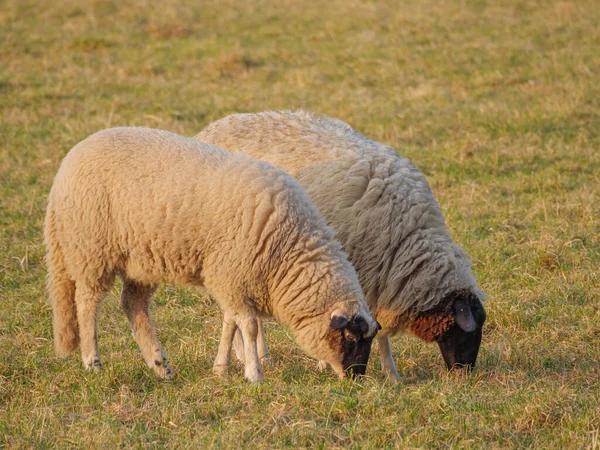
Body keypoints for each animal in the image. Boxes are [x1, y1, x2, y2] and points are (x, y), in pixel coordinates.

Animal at [44, 126, 380, 384]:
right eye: (351, 338)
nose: (357, 378)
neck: (289, 247)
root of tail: (68, 162)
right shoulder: (231, 273)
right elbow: (248, 326)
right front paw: (253, 374)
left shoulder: (231, 279)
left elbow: (230, 323)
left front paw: (222, 368)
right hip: (90, 248)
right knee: (86, 303)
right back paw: (92, 361)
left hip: (140, 259)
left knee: (133, 305)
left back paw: (159, 365)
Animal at [196, 110, 488, 380]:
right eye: (470, 331)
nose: (466, 372)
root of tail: (217, 124)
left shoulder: (379, 280)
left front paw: (389, 373)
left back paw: (260, 357)